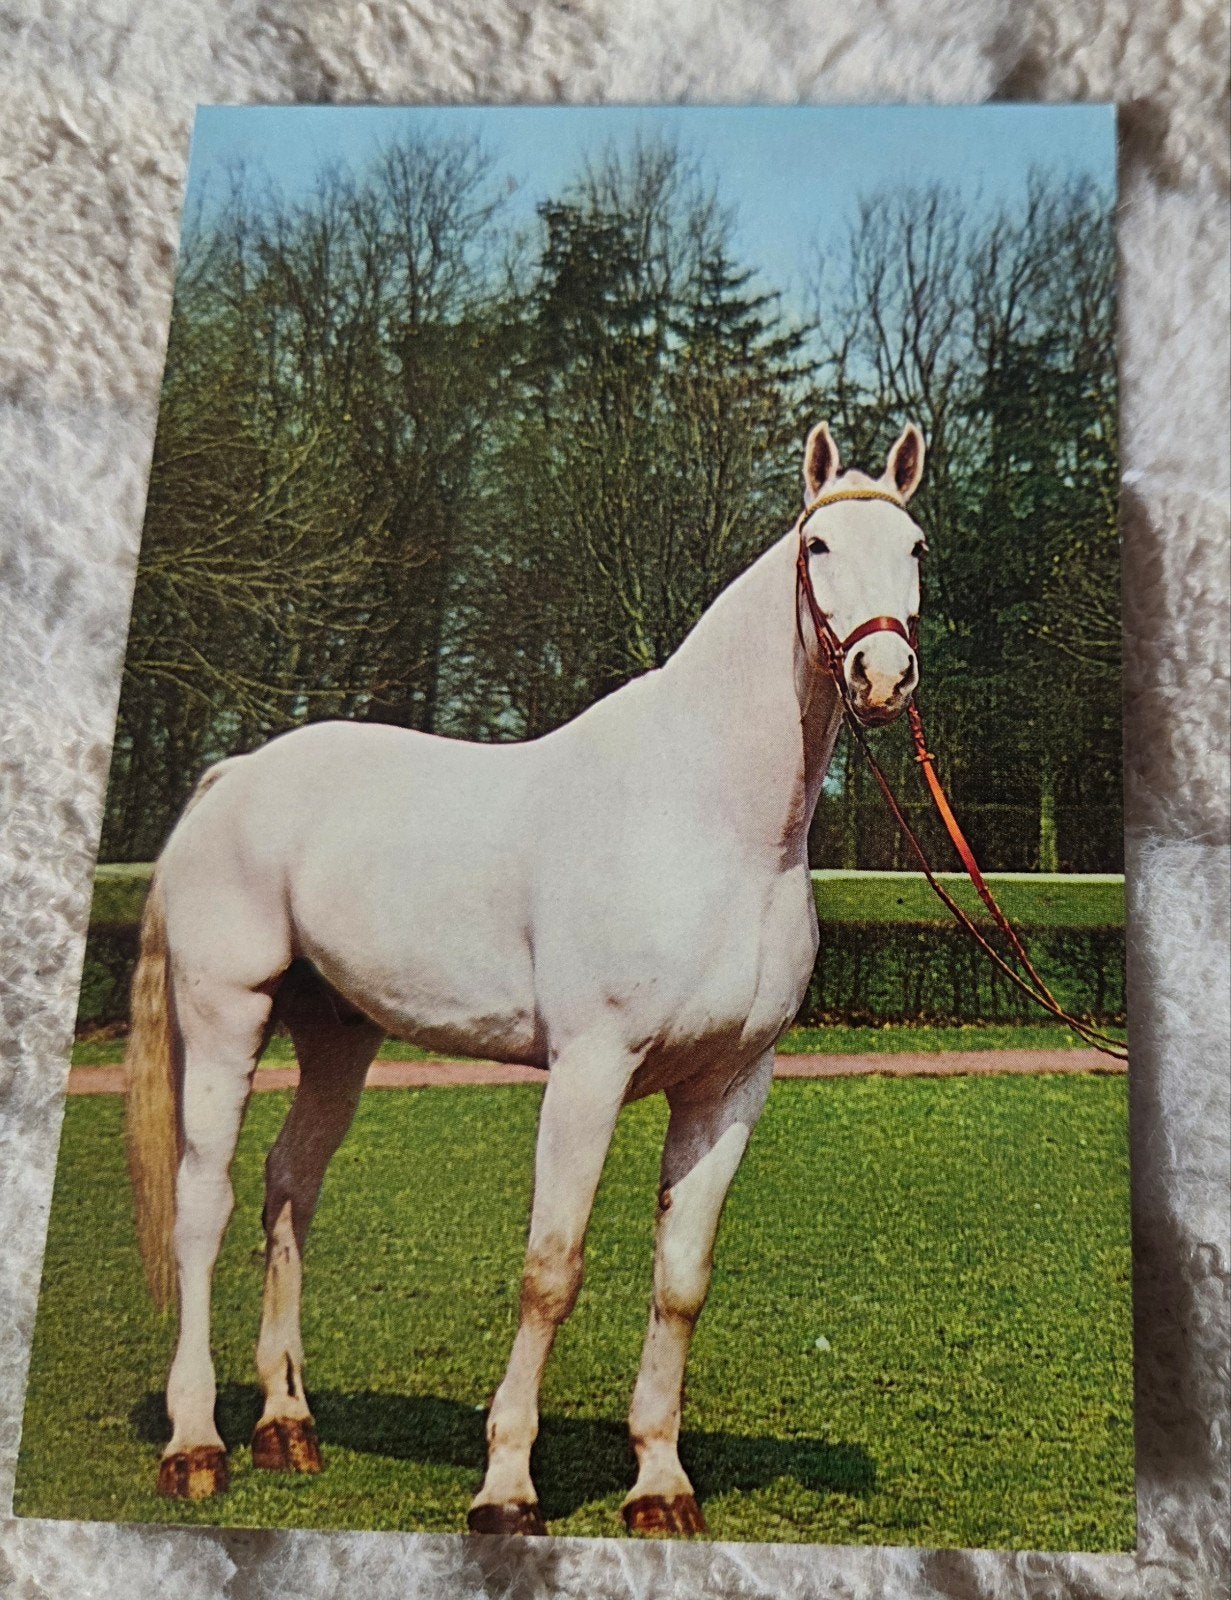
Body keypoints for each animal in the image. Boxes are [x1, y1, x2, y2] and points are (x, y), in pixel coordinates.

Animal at [125, 419, 928, 1532]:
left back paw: (288, 1427)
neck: (707, 816)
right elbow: (551, 1270)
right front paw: (506, 1487)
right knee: (206, 1203)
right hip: (225, 1016)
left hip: (338, 1031)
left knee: (292, 1187)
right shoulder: (589, 1072)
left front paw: (660, 1485)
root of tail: (232, 776)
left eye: (916, 547)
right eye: (817, 546)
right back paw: (196, 1443)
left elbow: (680, 1280)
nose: (883, 675)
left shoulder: (728, 1087)